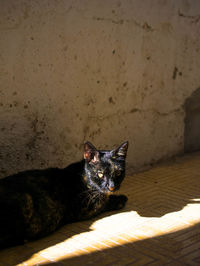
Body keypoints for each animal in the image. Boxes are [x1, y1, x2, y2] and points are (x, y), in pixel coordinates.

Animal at [0, 141, 128, 249]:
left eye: (118, 173)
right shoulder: (83, 208)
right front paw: (120, 199)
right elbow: (103, 202)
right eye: (100, 174)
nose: (112, 186)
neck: (82, 177)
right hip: (26, 199)